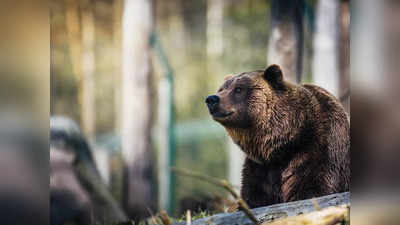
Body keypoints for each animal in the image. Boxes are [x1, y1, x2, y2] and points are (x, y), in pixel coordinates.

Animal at [206, 64, 350, 208]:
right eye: (221, 89)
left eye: (239, 89)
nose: (212, 99)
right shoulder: (260, 168)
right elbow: (253, 196)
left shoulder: (318, 149)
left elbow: (311, 189)